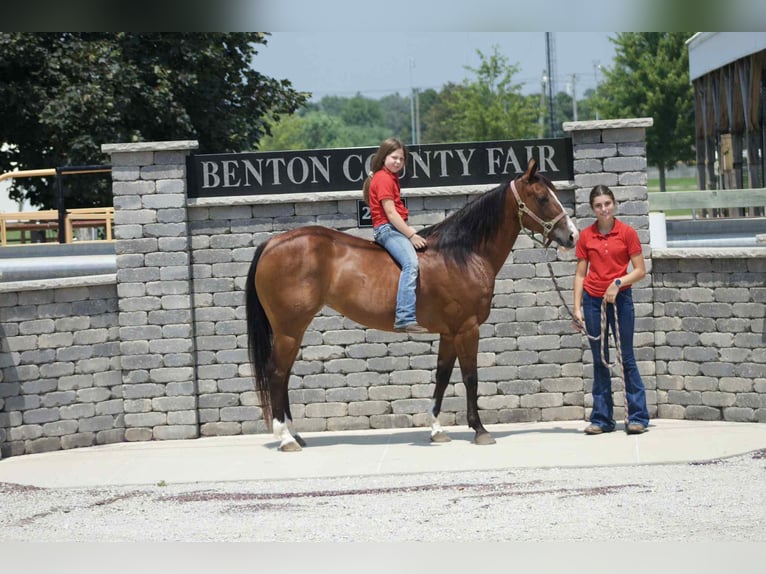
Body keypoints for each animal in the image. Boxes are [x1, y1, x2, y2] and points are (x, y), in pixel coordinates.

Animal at [245, 158, 579, 451]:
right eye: (542, 198)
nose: (572, 236)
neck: (462, 253)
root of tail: (272, 243)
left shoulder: (449, 332)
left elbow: (442, 376)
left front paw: (437, 430)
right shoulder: (468, 329)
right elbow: (470, 377)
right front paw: (480, 430)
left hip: (291, 331)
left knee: (284, 374)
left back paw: (295, 434)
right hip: (289, 329)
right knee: (277, 373)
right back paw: (285, 439)